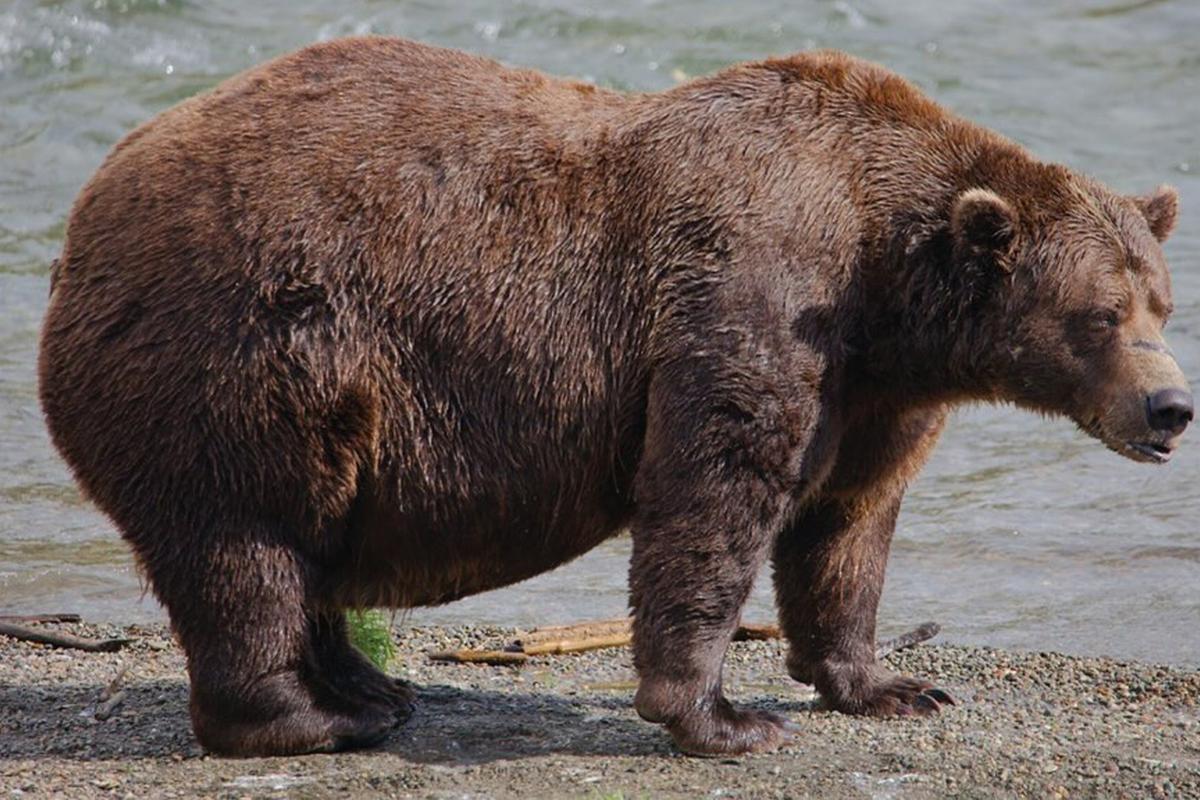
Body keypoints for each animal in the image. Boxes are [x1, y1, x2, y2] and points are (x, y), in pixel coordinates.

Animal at [38, 37, 1191, 757]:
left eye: (1164, 302)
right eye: (1099, 314)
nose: (1171, 408)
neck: (887, 280)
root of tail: (83, 216)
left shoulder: (874, 388)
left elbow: (848, 524)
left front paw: (891, 684)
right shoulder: (753, 292)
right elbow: (714, 491)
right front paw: (722, 717)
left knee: (306, 543)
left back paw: (371, 686)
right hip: (241, 351)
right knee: (246, 545)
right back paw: (312, 718)